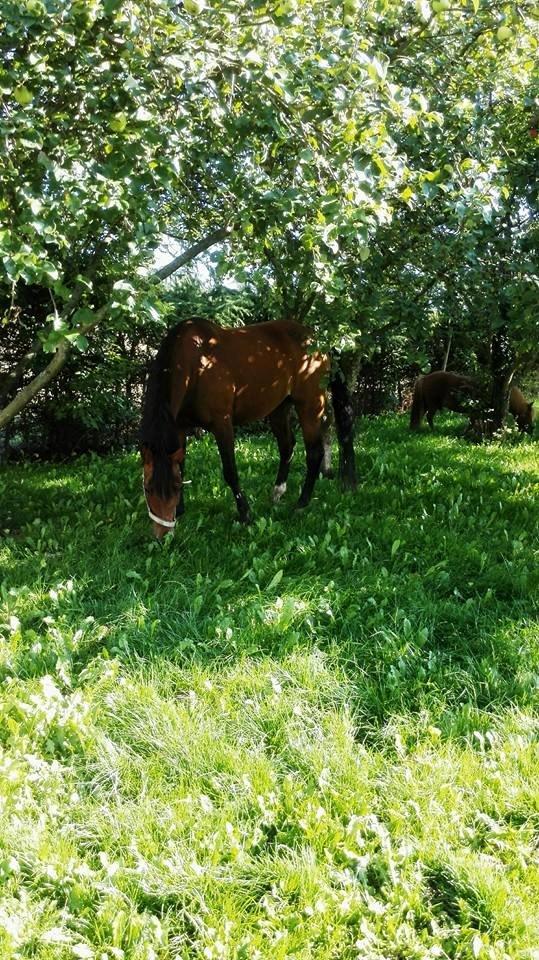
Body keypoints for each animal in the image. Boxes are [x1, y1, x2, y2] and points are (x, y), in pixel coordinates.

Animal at [141, 318, 356, 536]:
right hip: (279, 408)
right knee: (287, 446)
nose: (162, 534)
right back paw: (277, 492)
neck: (195, 365)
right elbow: (181, 467)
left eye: (175, 488)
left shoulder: (222, 424)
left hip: (310, 405)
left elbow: (230, 471)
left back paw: (301, 504)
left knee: (314, 452)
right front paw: (181, 510)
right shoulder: (179, 427)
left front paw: (245, 514)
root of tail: (316, 339)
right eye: (148, 489)